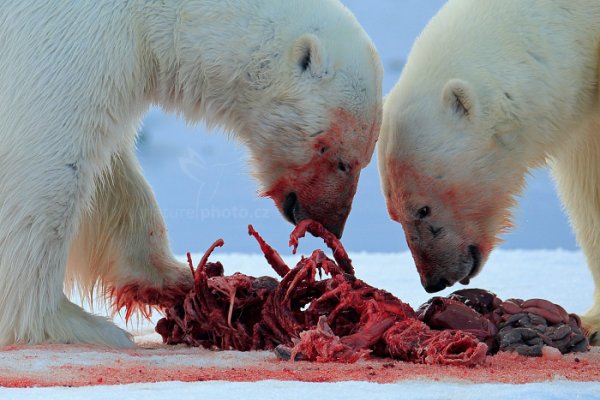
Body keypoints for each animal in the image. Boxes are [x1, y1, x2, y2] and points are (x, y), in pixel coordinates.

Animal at [0, 0, 382, 346]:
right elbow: (45, 162)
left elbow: (114, 178)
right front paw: (68, 323)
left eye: (364, 160)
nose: (332, 225)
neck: (147, 14)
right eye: (337, 156)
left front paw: (174, 278)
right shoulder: (71, 45)